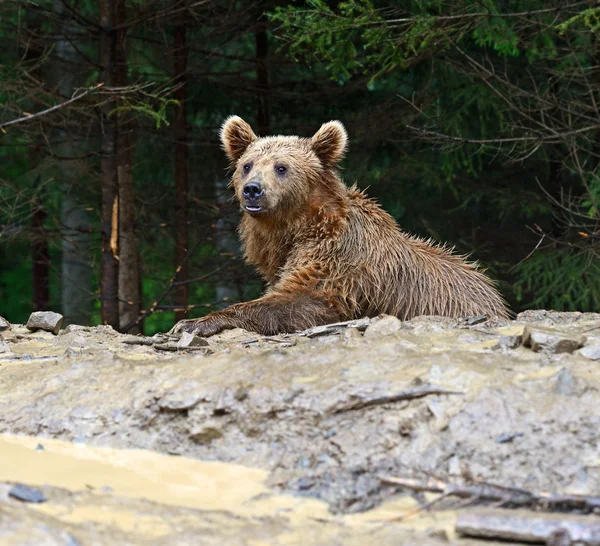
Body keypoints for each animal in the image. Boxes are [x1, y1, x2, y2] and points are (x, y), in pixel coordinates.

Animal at [172, 116, 506, 334]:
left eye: (281, 167)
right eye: (247, 165)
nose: (253, 190)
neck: (293, 228)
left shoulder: (340, 258)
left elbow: (305, 299)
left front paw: (193, 322)